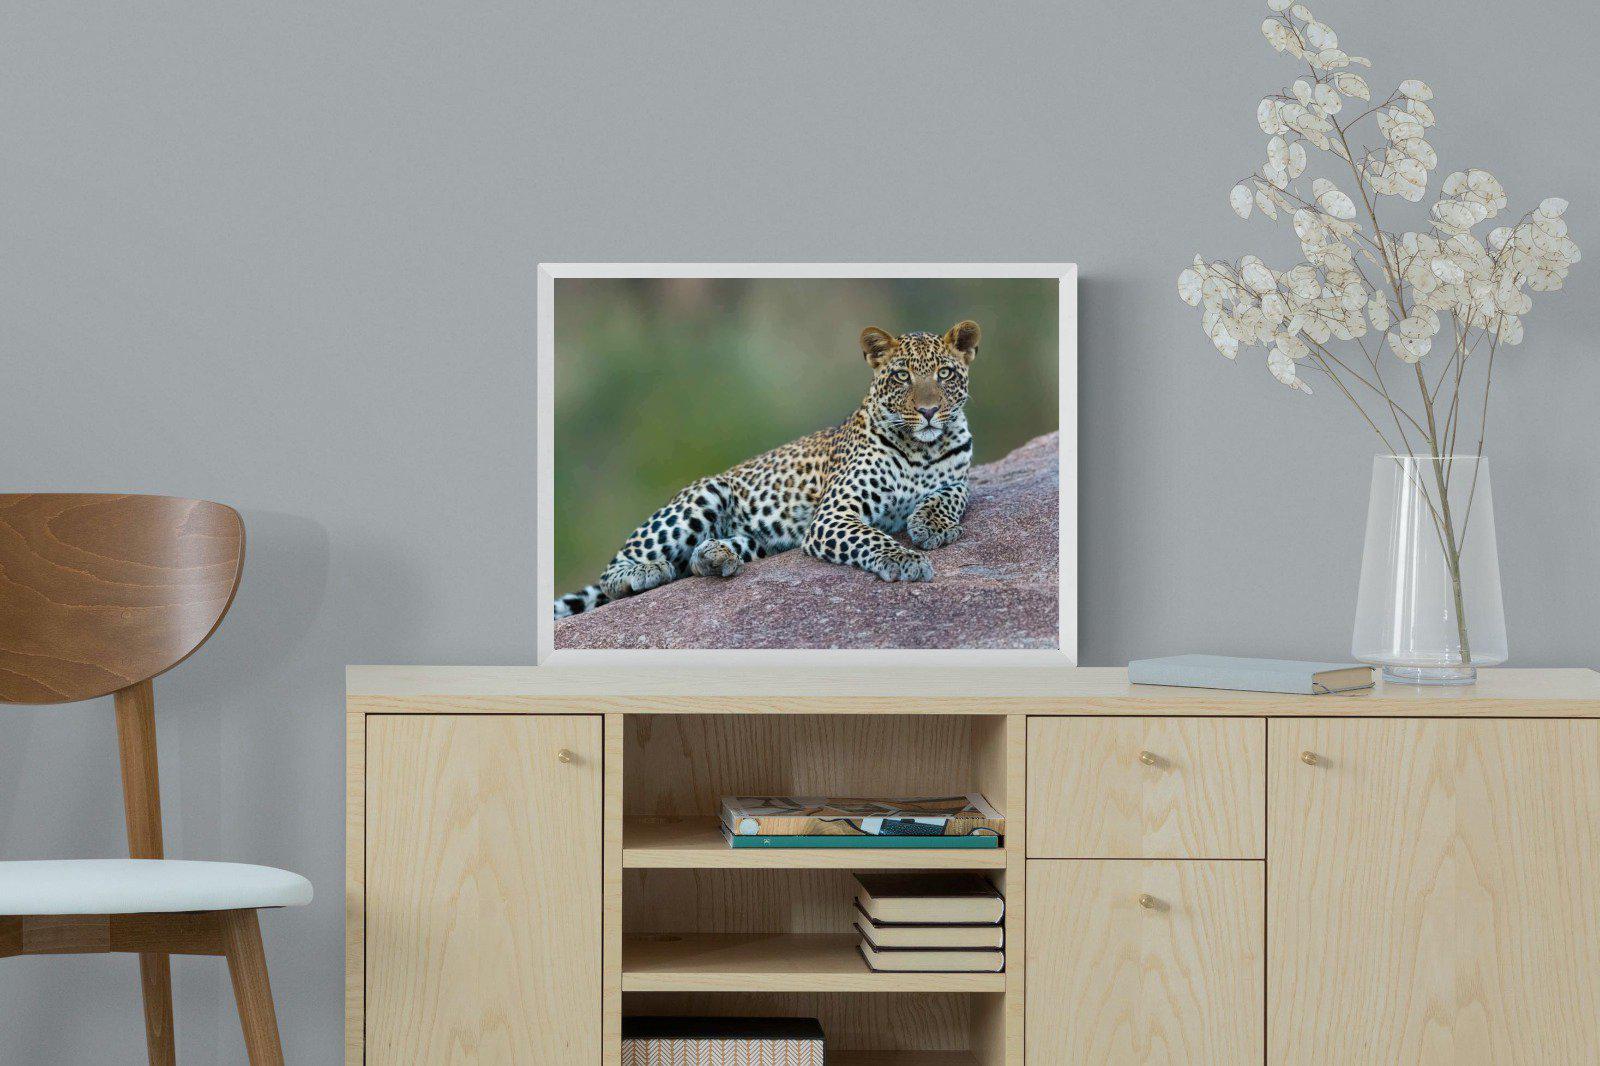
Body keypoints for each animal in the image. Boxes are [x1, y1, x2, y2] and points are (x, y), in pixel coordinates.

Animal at [553, 319, 981, 618]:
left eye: (944, 373)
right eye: (901, 376)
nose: (928, 411)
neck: (922, 448)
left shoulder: (959, 479)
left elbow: (949, 496)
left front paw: (933, 526)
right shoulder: (833, 515)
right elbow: (873, 537)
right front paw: (906, 559)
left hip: (761, 539)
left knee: (694, 561)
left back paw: (716, 556)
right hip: (704, 495)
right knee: (614, 571)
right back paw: (646, 572)